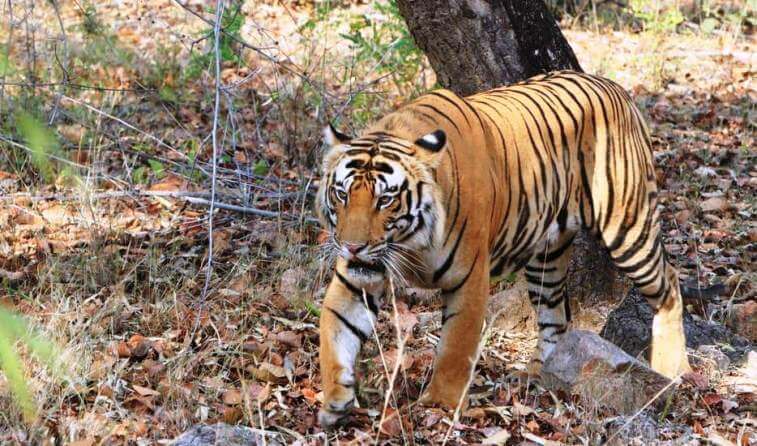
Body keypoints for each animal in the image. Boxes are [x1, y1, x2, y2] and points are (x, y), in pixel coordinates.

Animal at [314, 70, 692, 428]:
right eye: (342, 194)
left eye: (385, 200)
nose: (352, 246)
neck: (409, 242)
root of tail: (615, 87)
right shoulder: (357, 278)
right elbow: (334, 332)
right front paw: (335, 400)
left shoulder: (468, 279)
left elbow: (455, 348)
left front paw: (438, 406)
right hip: (546, 259)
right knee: (556, 315)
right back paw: (536, 374)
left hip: (627, 228)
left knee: (669, 284)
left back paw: (673, 370)